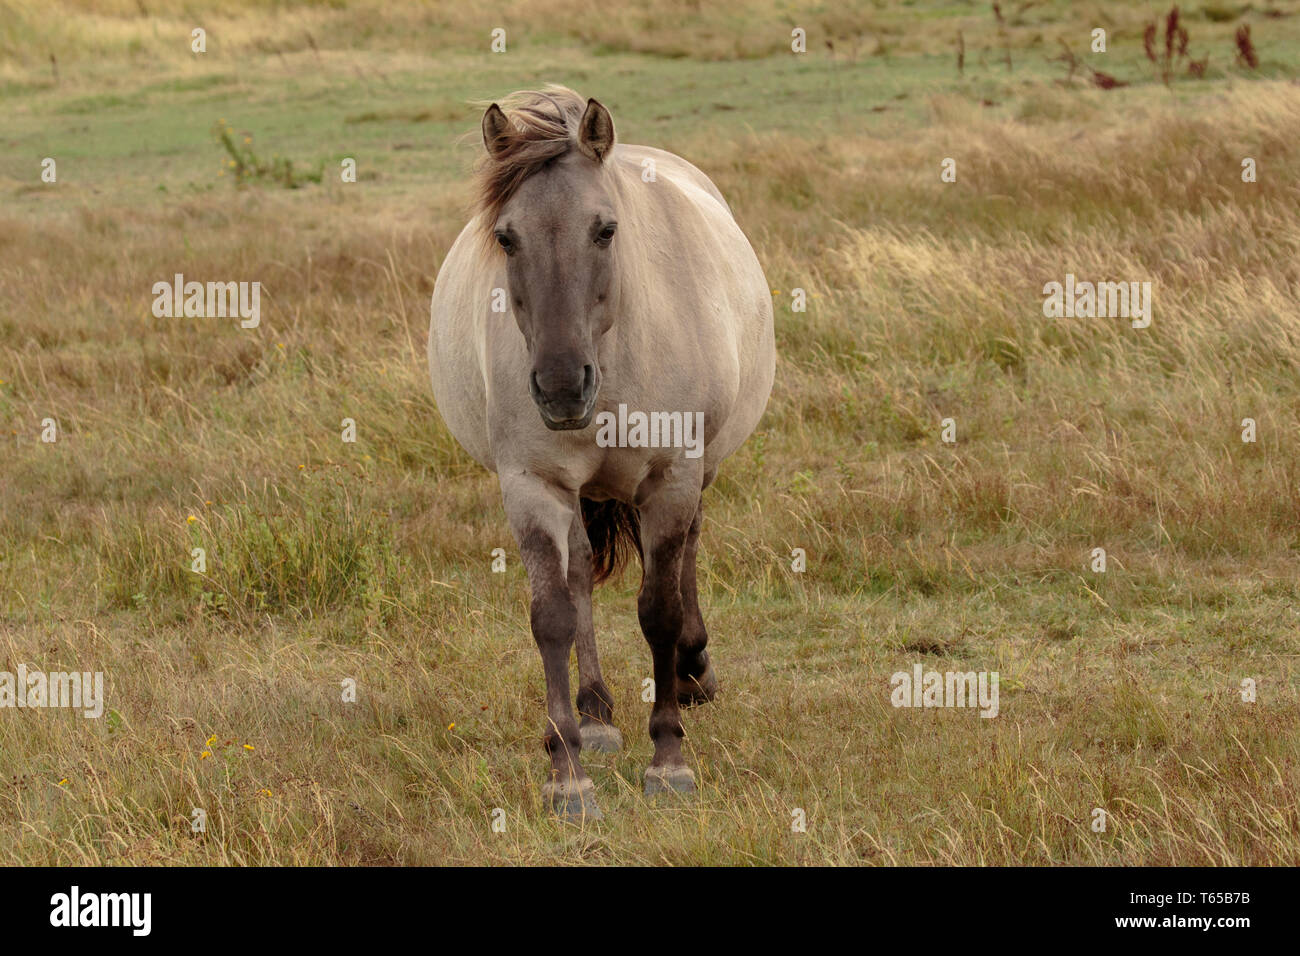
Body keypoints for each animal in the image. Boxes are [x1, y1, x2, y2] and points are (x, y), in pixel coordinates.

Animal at [428, 85, 769, 816]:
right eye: (506, 236)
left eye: (605, 230)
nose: (561, 387)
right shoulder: (533, 485)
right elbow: (553, 615)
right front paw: (567, 770)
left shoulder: (672, 477)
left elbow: (659, 612)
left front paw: (668, 760)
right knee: (581, 572)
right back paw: (596, 716)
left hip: (697, 473)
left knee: (688, 552)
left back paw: (693, 674)